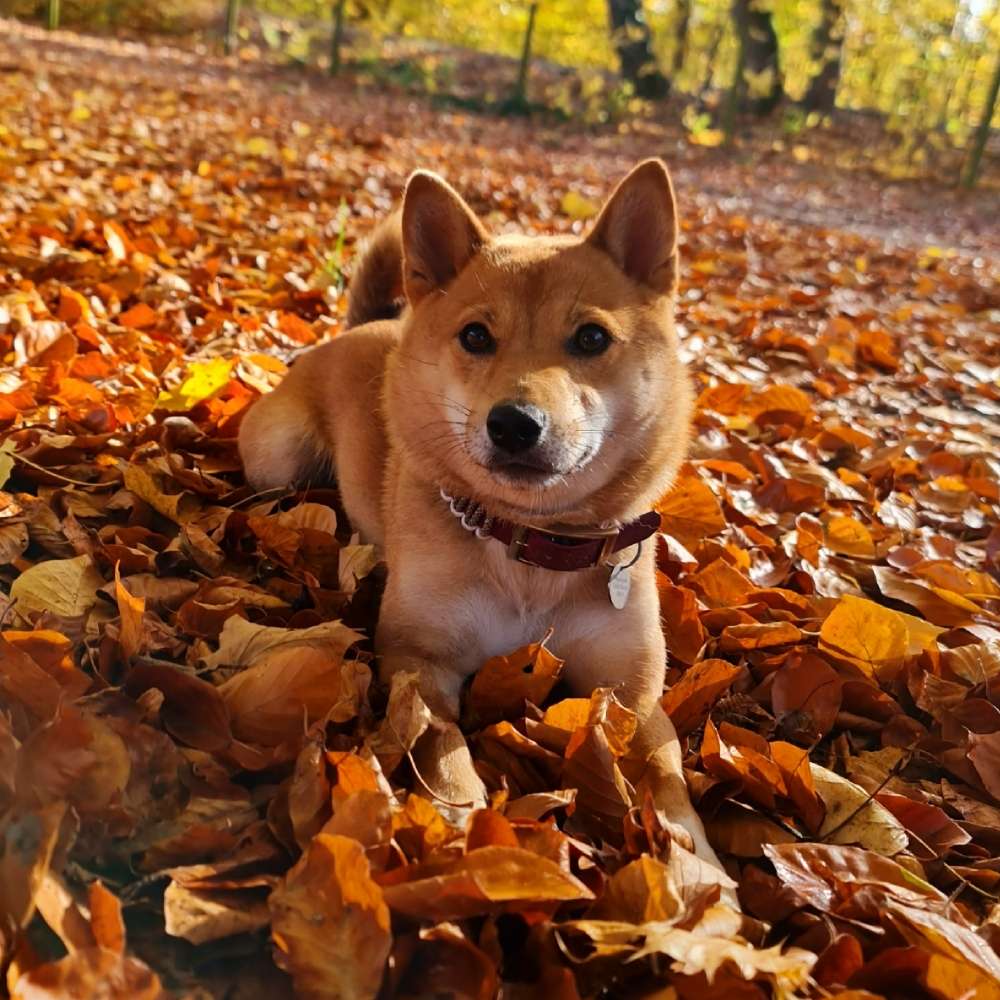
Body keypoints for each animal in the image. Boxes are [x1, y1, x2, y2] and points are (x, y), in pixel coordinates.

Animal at [239, 158, 732, 884]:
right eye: (476, 336)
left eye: (592, 337)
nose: (515, 424)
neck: (532, 548)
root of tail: (367, 327)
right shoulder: (421, 662)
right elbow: (441, 748)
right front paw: (463, 827)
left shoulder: (631, 694)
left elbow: (667, 777)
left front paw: (702, 874)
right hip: (278, 462)